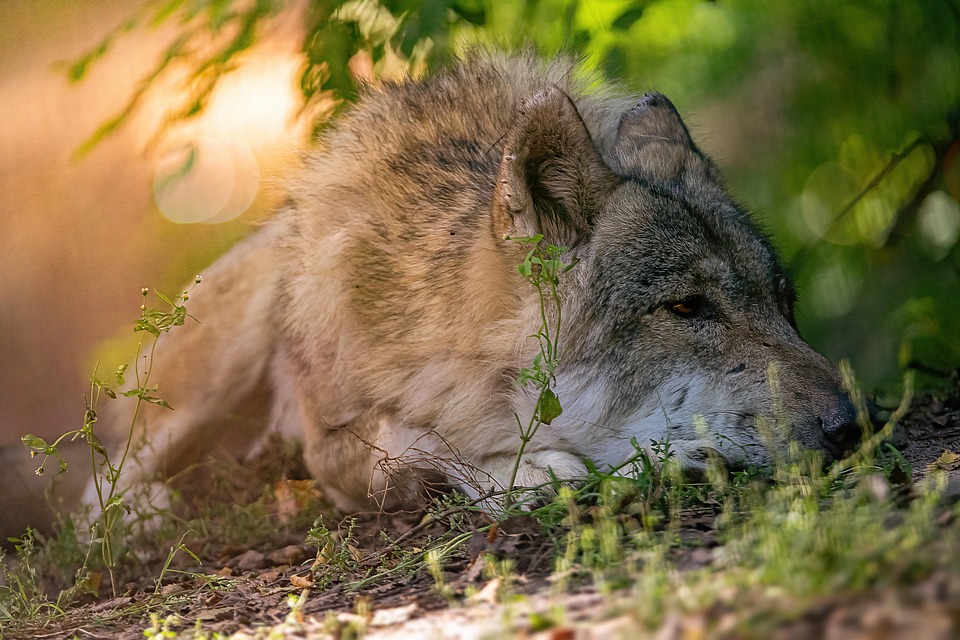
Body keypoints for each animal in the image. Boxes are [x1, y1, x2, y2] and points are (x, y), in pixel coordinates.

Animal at [69, 52, 858, 515]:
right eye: (687, 307)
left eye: (783, 303)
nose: (854, 425)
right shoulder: (332, 449)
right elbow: (411, 442)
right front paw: (529, 470)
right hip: (222, 362)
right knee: (96, 494)